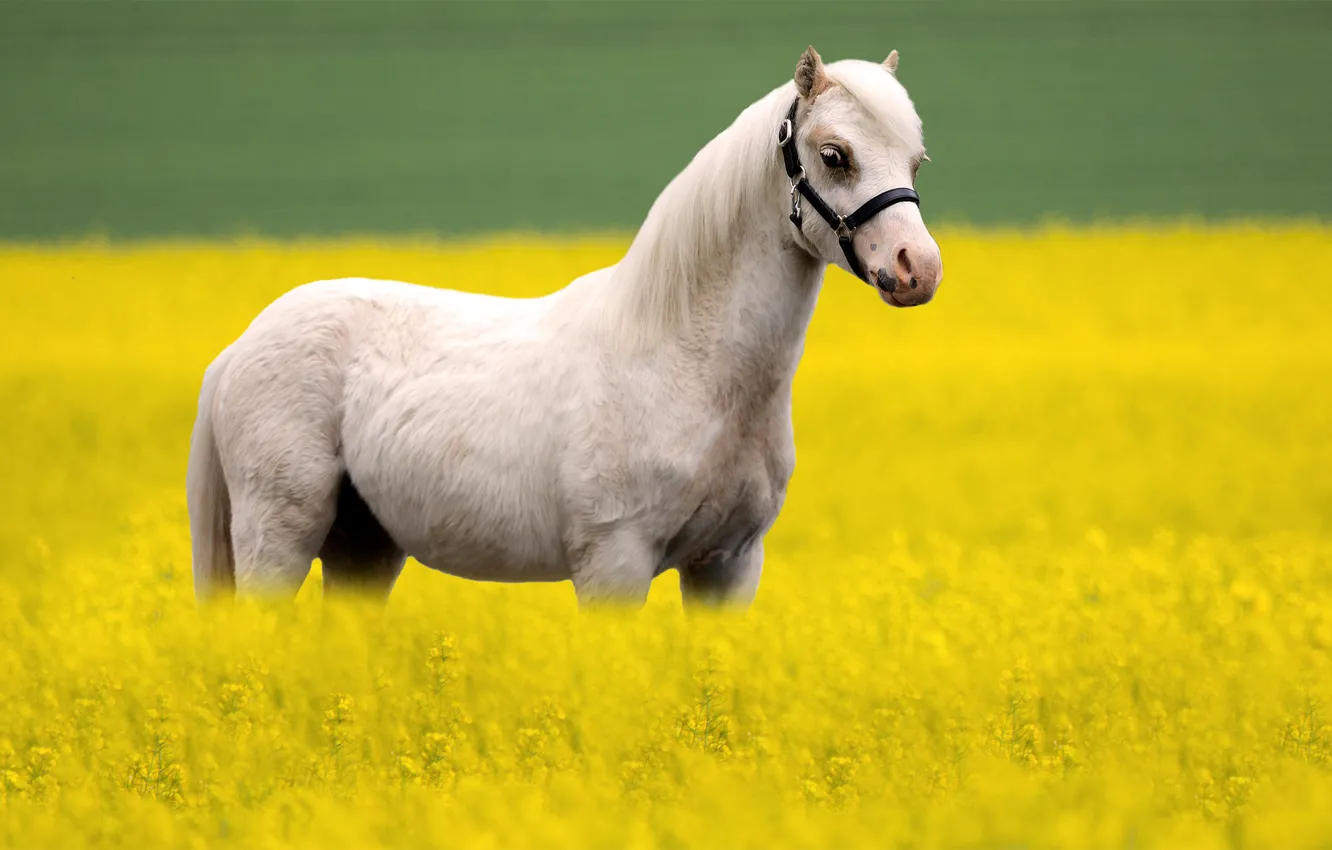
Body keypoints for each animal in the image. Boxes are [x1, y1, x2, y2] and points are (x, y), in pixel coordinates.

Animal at [186, 46, 944, 608]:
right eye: (834, 154)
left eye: (915, 159)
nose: (919, 269)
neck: (685, 360)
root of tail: (241, 346)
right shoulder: (615, 564)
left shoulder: (729, 565)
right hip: (278, 541)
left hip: (362, 549)